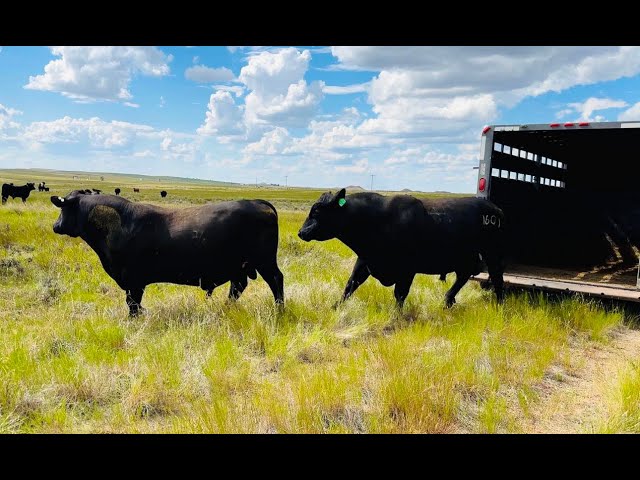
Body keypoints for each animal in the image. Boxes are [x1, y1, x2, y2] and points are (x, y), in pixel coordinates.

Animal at [50, 191, 284, 316]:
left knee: (276, 280)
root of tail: (257, 202)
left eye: (63, 208)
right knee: (237, 287)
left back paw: (280, 309)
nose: (55, 226)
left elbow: (133, 304)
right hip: (239, 267)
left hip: (265, 262)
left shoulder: (133, 280)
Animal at [297, 189, 505, 308]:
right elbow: (350, 285)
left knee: (497, 277)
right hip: (465, 257)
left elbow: (400, 294)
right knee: (463, 276)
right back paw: (447, 301)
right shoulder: (364, 261)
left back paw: (500, 304)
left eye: (317, 211)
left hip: (492, 252)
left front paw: (396, 317)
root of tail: (495, 208)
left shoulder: (407, 269)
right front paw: (335, 307)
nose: (301, 232)